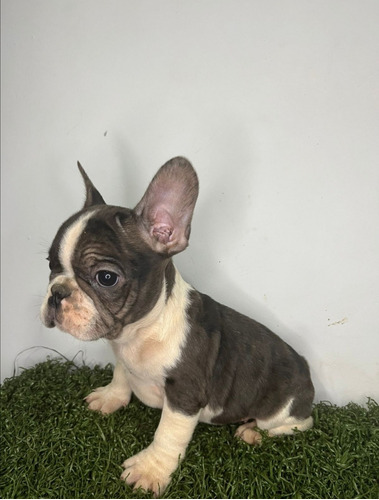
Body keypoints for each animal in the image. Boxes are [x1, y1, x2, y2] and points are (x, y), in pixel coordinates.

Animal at [40, 158, 314, 494]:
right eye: (50, 265)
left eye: (106, 277)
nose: (57, 292)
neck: (141, 331)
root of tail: (306, 371)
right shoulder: (124, 358)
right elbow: (121, 375)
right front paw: (112, 397)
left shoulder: (185, 394)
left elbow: (168, 434)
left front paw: (150, 470)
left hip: (280, 409)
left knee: (297, 424)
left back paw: (253, 432)